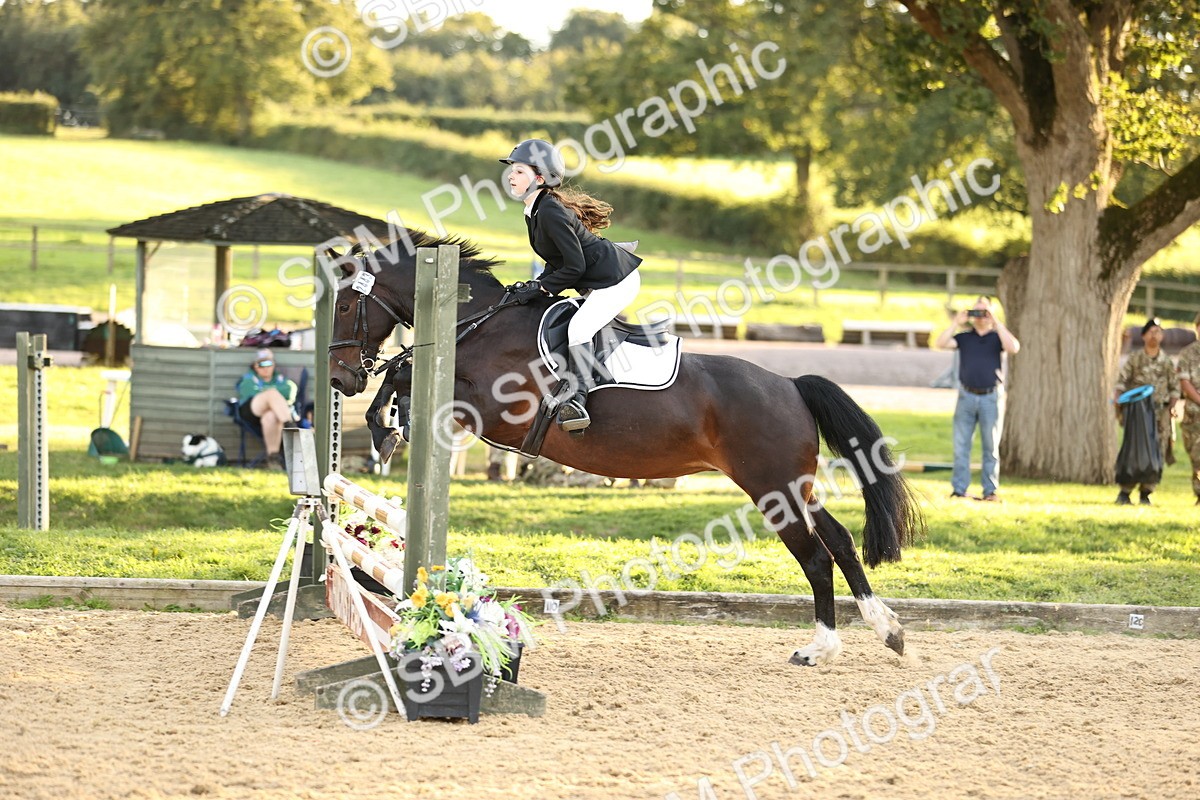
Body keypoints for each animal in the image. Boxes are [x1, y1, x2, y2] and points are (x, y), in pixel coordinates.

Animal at [326, 232, 925, 667]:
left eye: (346, 306)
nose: (339, 379)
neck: (478, 323)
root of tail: (792, 385)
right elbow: (401, 372)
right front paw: (387, 425)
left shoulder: (491, 407)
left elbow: (402, 372)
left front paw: (385, 428)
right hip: (793, 486)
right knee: (840, 542)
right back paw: (887, 630)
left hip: (770, 487)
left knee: (816, 557)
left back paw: (820, 648)